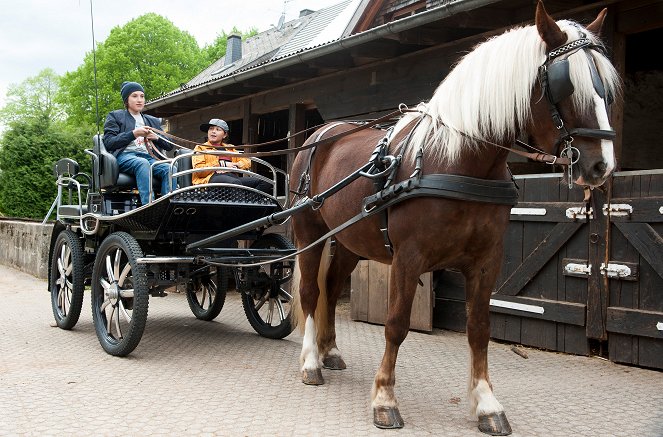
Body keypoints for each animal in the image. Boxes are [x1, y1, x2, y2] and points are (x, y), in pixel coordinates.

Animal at [290, 2, 624, 432]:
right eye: (566, 84)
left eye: (606, 89)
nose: (602, 166)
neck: (457, 160)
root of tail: (320, 135)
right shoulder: (408, 258)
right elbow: (396, 324)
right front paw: (384, 398)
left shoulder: (486, 260)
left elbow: (479, 329)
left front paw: (486, 403)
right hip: (308, 234)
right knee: (310, 292)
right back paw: (311, 362)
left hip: (350, 241)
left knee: (331, 289)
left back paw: (329, 351)